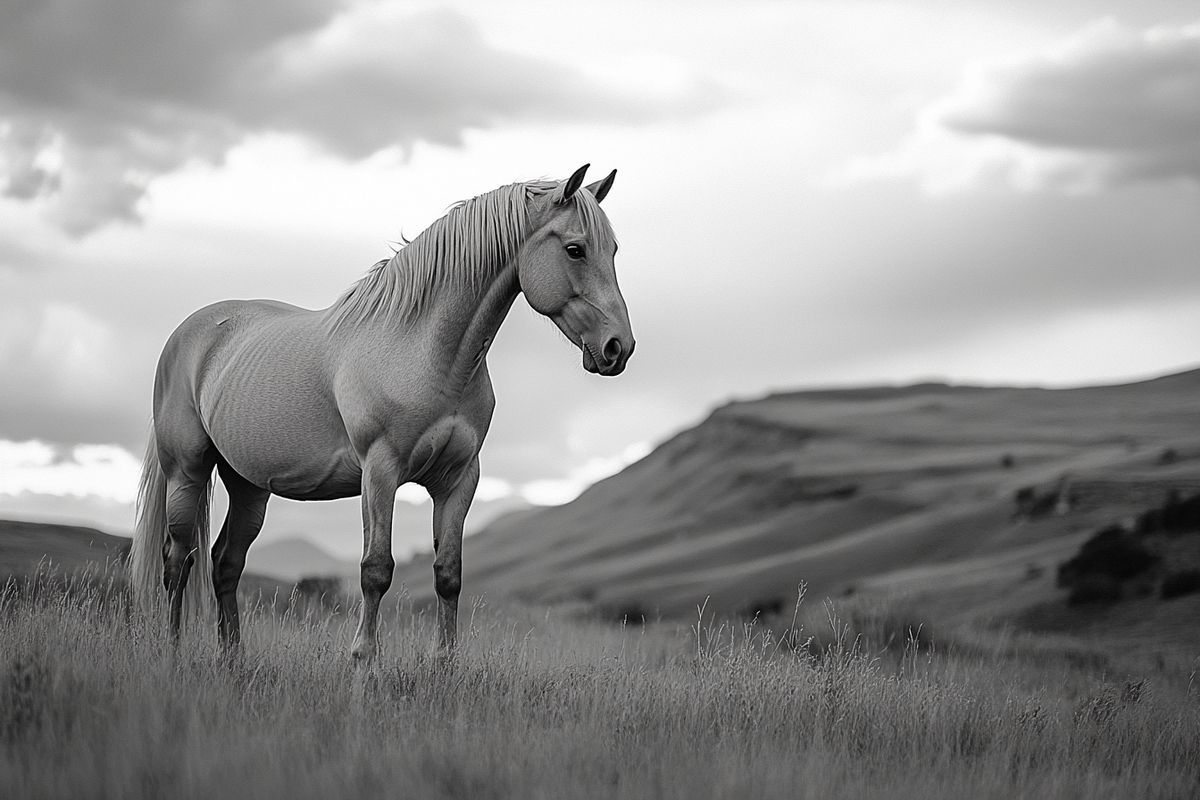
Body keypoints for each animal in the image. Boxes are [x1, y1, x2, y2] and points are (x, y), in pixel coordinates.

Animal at [129, 164, 634, 659]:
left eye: (612, 250)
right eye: (574, 249)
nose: (618, 348)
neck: (428, 353)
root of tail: (186, 333)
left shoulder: (459, 478)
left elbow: (448, 575)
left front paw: (444, 665)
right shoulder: (380, 471)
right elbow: (376, 570)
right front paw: (364, 661)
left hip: (249, 485)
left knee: (225, 563)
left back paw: (232, 659)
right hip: (187, 472)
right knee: (178, 562)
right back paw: (172, 654)